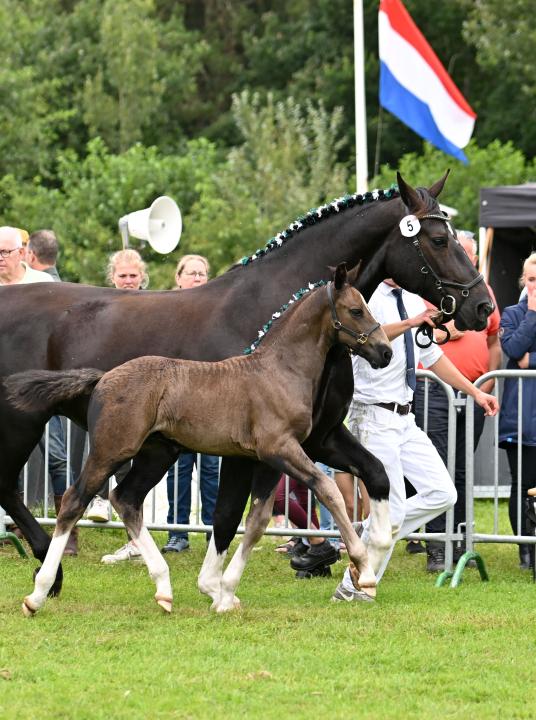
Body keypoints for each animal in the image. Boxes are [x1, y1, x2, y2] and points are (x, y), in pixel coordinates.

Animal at [0, 172, 492, 600]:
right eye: (439, 240)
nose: (483, 306)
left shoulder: (321, 437)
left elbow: (373, 480)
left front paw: (359, 572)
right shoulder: (251, 448)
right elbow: (229, 514)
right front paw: (216, 586)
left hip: (150, 447)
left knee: (119, 497)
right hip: (26, 425)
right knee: (24, 490)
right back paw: (49, 574)